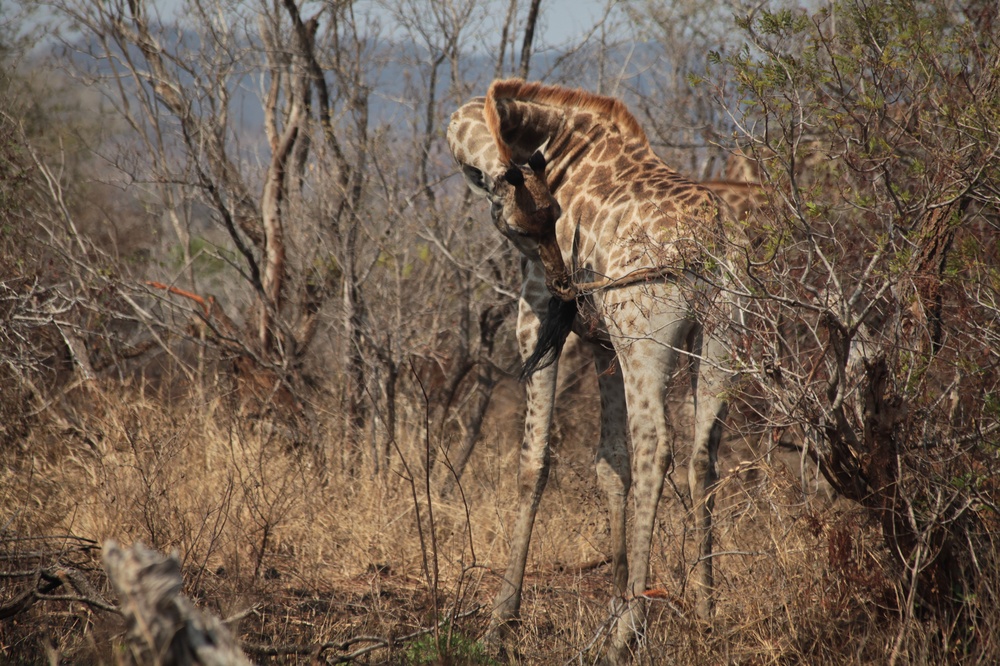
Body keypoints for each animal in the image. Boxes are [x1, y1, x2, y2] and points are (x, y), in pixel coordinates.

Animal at [448, 78, 744, 660]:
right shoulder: (602, 343)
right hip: (723, 335)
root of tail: (717, 242)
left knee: (657, 447)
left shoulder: (535, 316)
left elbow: (534, 460)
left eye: (554, 217)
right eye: (526, 223)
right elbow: (611, 465)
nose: (566, 284)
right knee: (702, 455)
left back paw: (631, 634)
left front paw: (501, 619)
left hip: (644, 337)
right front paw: (609, 610)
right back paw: (704, 614)